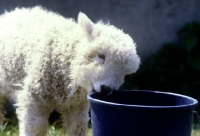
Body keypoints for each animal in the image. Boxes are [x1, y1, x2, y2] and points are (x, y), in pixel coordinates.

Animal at [0, 6, 141, 136]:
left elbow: (77, 127)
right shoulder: (34, 95)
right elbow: (35, 128)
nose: (106, 89)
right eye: (101, 56)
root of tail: (13, 12)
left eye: (125, 73)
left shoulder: (78, 104)